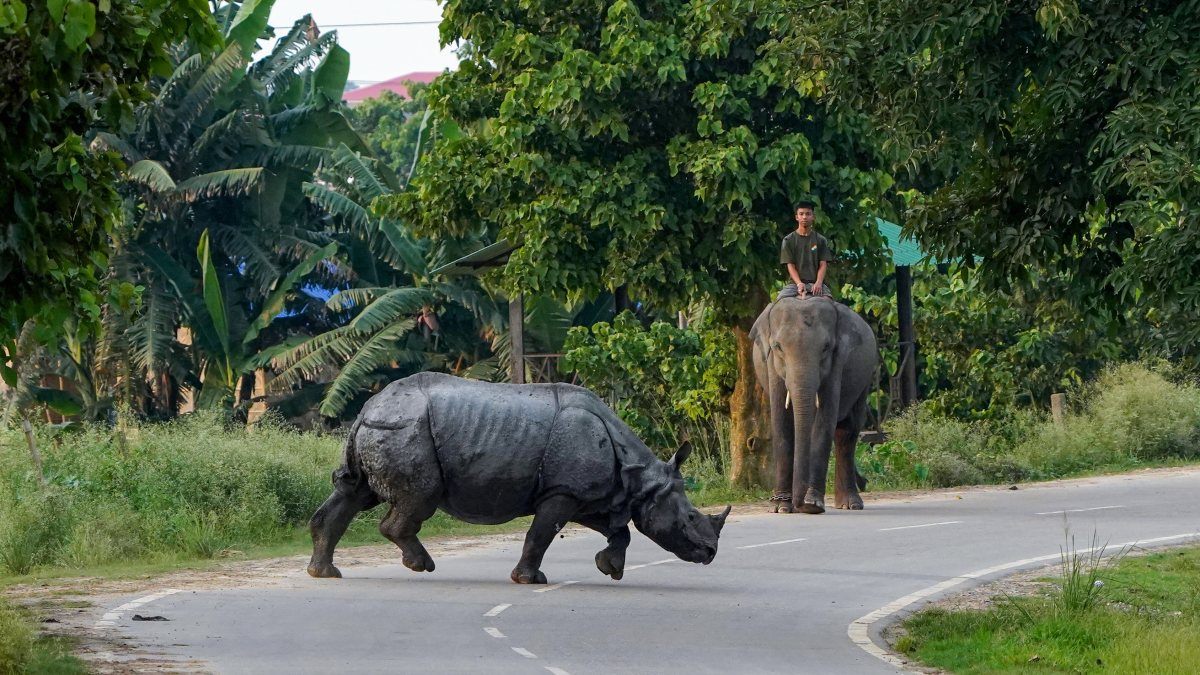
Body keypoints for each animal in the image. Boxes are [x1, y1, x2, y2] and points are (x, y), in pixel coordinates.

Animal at [308, 372, 730, 584]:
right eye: (690, 517)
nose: (711, 554)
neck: (639, 476)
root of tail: (367, 408)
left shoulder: (588, 494)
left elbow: (619, 530)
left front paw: (609, 569)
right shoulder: (563, 492)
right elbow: (540, 534)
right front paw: (530, 580)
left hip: (385, 427)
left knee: (353, 492)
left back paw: (325, 573)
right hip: (405, 429)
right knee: (418, 498)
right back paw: (422, 566)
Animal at [750, 296, 878, 514]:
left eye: (826, 347)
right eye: (778, 346)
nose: (799, 505)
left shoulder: (837, 362)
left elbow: (824, 422)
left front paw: (813, 504)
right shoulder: (771, 366)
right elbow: (781, 424)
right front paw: (780, 507)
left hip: (865, 380)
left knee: (848, 431)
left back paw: (850, 504)